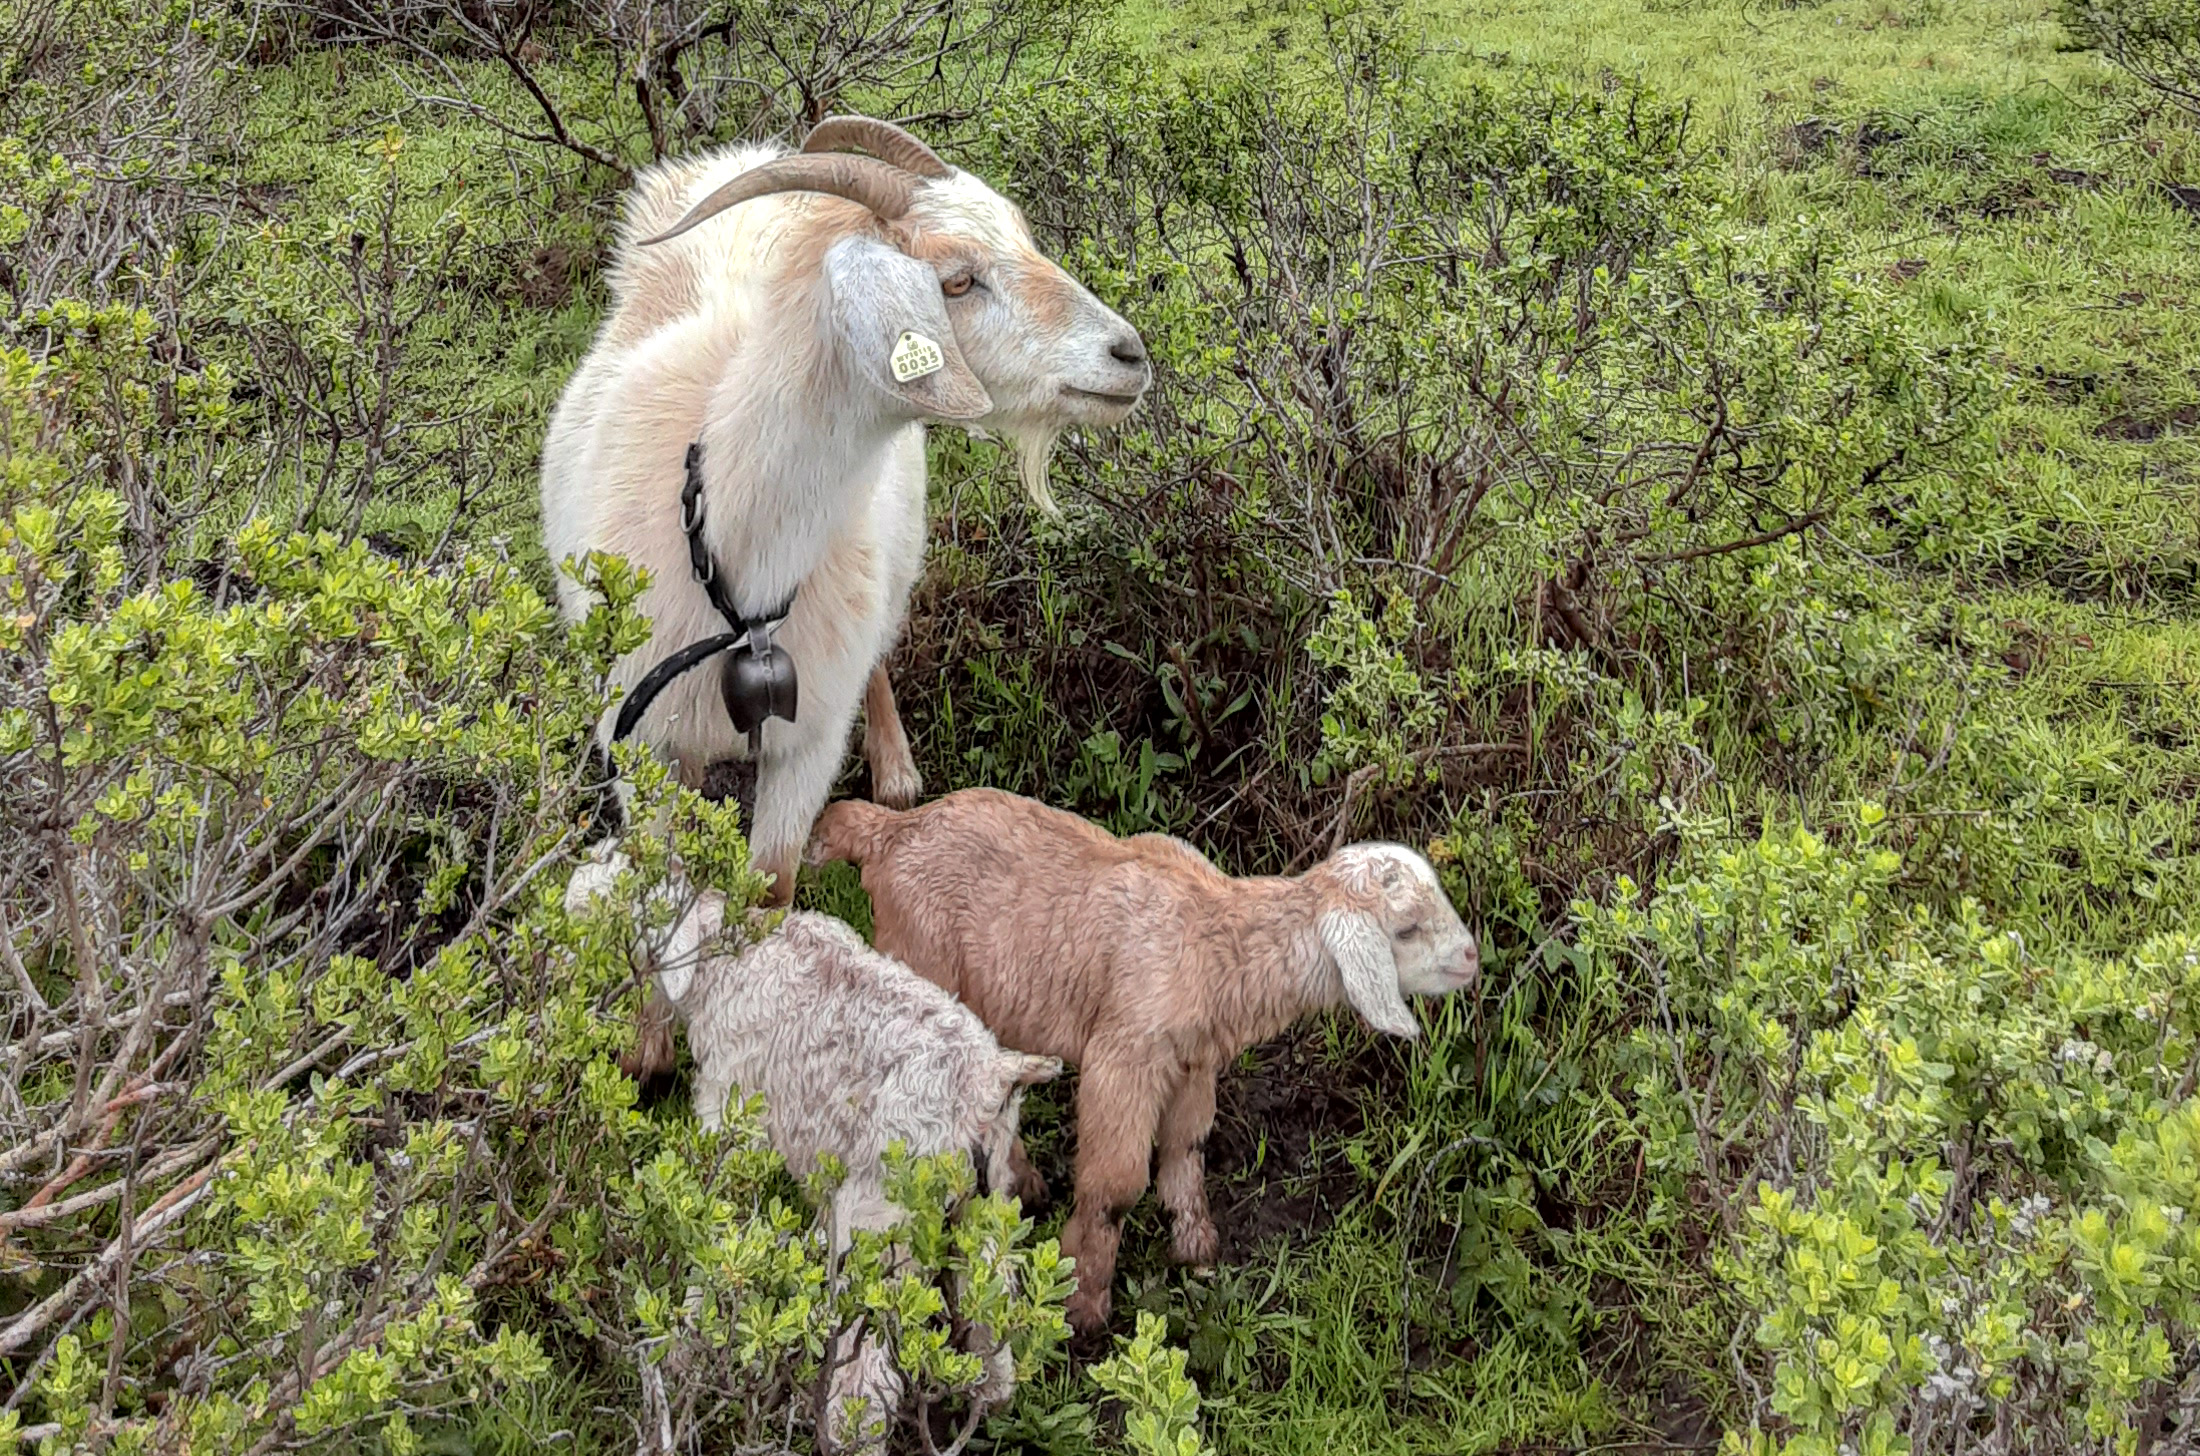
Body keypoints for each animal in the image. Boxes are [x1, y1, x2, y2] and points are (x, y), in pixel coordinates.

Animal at [543, 119, 1152, 1077]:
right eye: (956, 280)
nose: (1130, 355)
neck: (737, 568)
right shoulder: (640, 737)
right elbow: (655, 885)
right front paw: (644, 1045)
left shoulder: (807, 742)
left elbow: (768, 891)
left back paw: (897, 772)